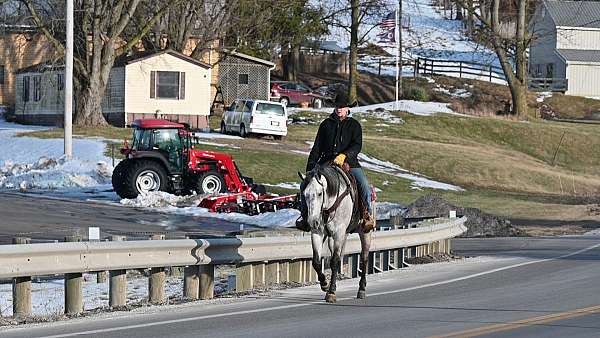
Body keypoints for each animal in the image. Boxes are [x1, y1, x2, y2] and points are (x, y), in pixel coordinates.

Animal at [300, 164, 370, 304]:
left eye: (320, 193)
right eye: (304, 194)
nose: (312, 222)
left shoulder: (339, 232)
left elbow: (335, 261)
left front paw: (331, 293)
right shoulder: (318, 232)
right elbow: (316, 261)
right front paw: (325, 284)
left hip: (364, 232)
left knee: (364, 257)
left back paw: (361, 289)